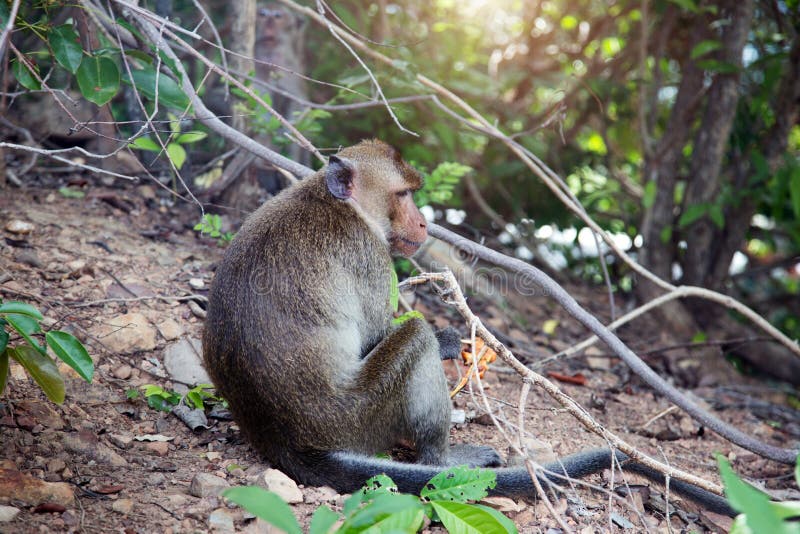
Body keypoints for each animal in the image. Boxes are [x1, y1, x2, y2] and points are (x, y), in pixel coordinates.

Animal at [202, 139, 736, 520]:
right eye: (403, 195)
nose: (423, 222)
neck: (337, 203)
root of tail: (282, 438)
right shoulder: (369, 255)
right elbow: (377, 336)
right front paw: (444, 340)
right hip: (355, 419)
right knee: (412, 340)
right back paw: (443, 459)